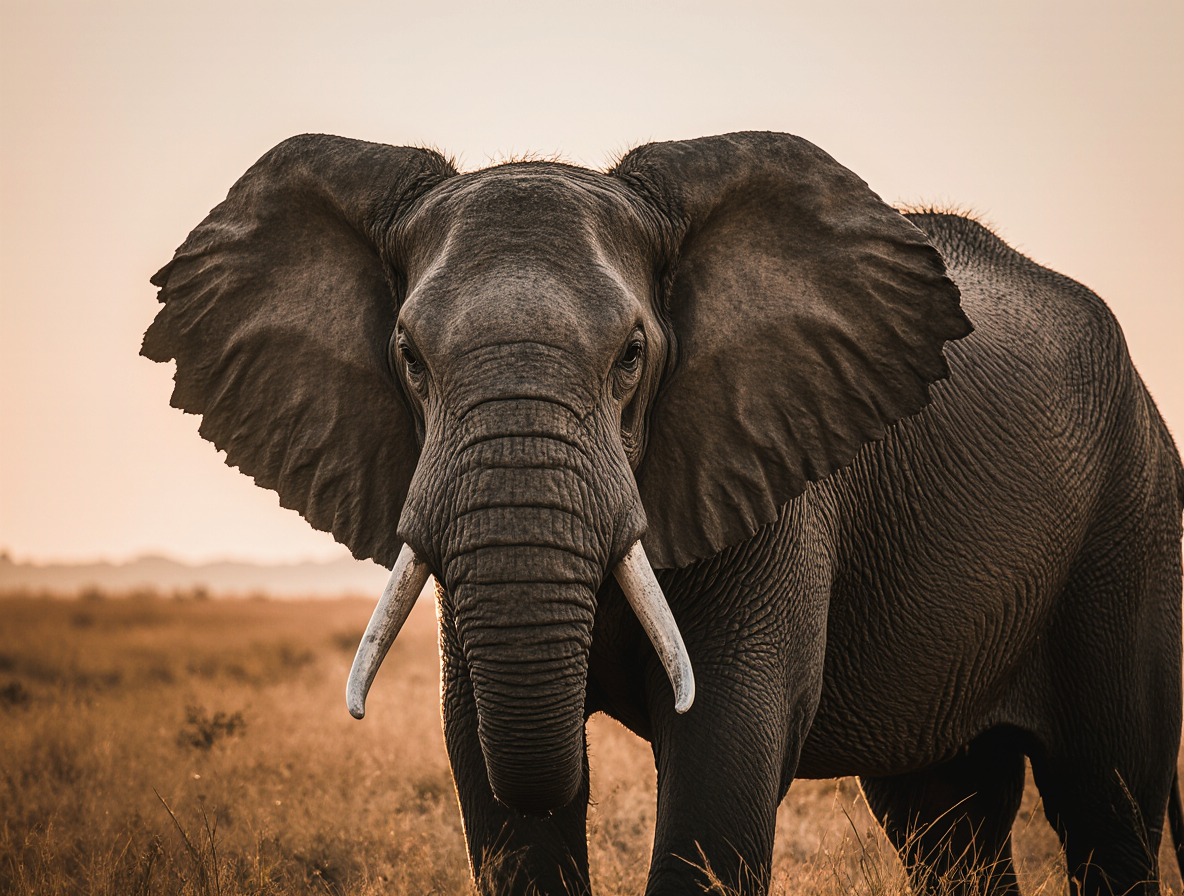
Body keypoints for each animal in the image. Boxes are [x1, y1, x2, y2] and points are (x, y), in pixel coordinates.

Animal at [142, 131, 1184, 895]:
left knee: (1107, 806)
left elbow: (722, 747)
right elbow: (482, 759)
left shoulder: (774, 482)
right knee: (943, 822)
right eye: (409, 358)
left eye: (632, 358)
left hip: (1132, 526)